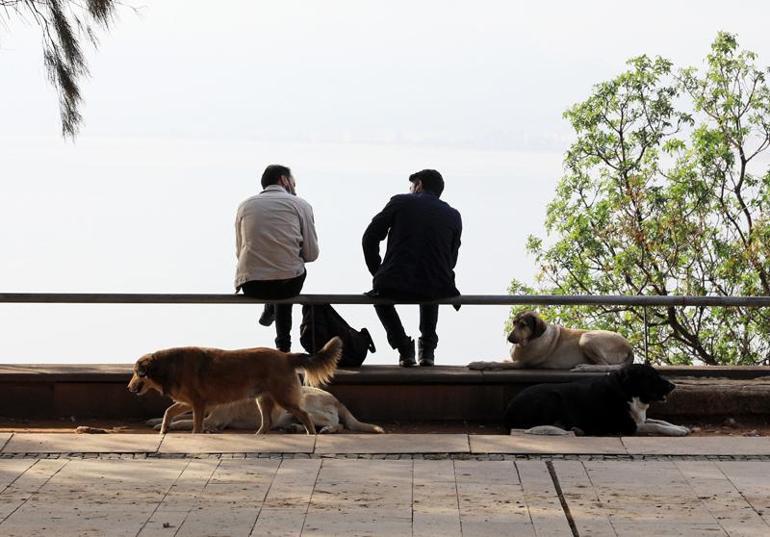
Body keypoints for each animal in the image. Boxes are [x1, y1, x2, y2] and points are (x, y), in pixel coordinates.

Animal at [127, 338, 342, 434]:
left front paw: (194, 434)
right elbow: (169, 412)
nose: (129, 388)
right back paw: (260, 436)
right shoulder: (192, 403)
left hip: (284, 399)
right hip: (263, 400)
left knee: (305, 415)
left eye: (137, 372)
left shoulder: (200, 406)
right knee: (267, 423)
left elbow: (193, 424)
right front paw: (162, 428)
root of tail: (286, 356)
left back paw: (311, 434)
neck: (166, 366)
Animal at [468, 308, 632, 370]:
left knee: (605, 365)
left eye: (523, 325)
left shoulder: (521, 363)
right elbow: (502, 360)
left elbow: (494, 362)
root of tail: (629, 348)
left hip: (586, 338)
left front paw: (478, 364)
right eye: (514, 323)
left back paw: (585, 367)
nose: (509, 338)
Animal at [504, 362, 688, 434]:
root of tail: (508, 410)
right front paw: (676, 431)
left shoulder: (639, 419)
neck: (625, 391)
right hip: (552, 397)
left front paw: (679, 427)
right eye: (652, 377)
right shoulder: (627, 426)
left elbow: (659, 421)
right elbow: (656, 426)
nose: (673, 385)